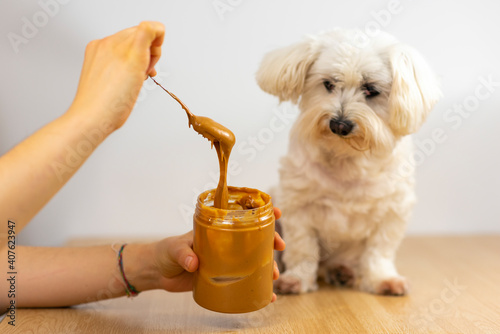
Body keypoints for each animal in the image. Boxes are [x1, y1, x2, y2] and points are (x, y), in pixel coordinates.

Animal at [256, 28, 440, 294]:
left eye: (371, 89)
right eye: (329, 84)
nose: (339, 124)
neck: (346, 158)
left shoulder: (392, 212)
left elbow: (379, 252)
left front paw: (382, 279)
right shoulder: (298, 206)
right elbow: (303, 249)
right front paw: (297, 279)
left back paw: (341, 271)